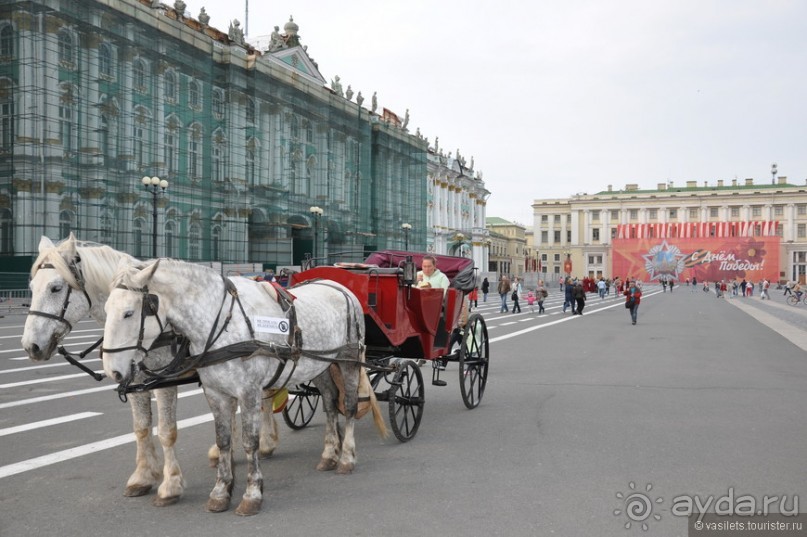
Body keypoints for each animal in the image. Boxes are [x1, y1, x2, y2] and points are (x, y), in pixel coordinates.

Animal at [20, 233, 280, 502]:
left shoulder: (164, 383)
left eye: (55, 288)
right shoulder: (134, 381)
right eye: (32, 287)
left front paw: (171, 483)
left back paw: (266, 442)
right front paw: (143, 476)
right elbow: (142, 428)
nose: (31, 346)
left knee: (266, 397)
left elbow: (166, 431)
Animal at [102, 258, 386, 512]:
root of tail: (340, 287)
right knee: (329, 402)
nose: (112, 370)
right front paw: (220, 492)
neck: (222, 324)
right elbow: (224, 440)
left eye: (128, 313)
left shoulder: (248, 392)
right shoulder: (215, 393)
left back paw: (346, 457)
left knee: (348, 405)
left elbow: (250, 441)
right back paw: (329, 454)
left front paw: (252, 494)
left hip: (348, 359)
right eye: (105, 310)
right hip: (320, 365)